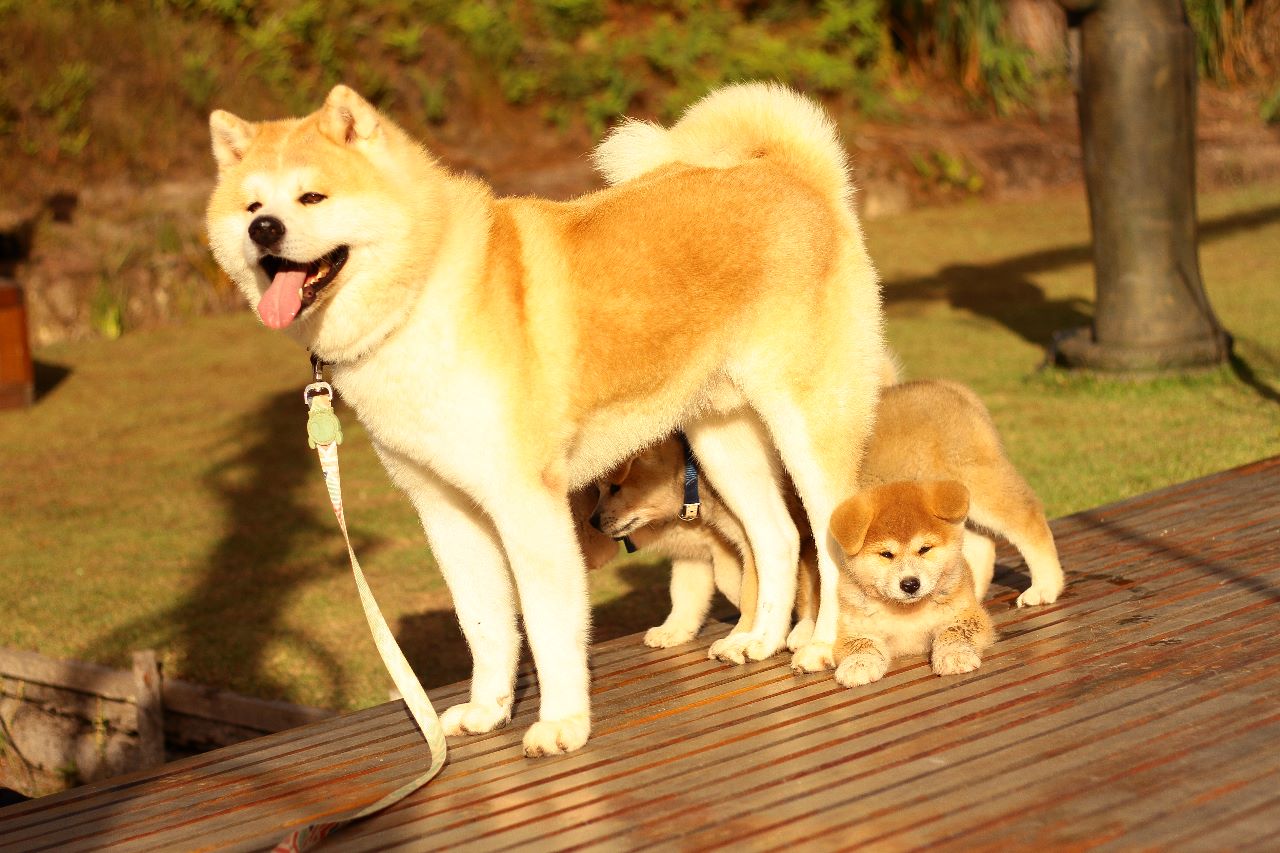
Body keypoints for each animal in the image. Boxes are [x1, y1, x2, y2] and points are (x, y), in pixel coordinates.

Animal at [209, 83, 885, 753]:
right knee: (777, 536)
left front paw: (561, 722)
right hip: (721, 440)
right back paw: (759, 640)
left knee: (827, 538)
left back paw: (823, 645)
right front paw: (487, 710)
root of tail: (793, 173)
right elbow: (484, 625)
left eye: (312, 196)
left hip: (804, 424)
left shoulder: (526, 503)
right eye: (252, 206)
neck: (421, 302)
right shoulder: (446, 510)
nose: (265, 229)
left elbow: (545, 625)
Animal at [824, 479, 993, 686]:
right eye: (886, 554)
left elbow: (953, 633)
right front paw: (858, 664)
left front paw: (954, 655)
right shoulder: (857, 627)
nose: (910, 584)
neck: (907, 613)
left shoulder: (964, 614)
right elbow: (862, 645)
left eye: (924, 549)